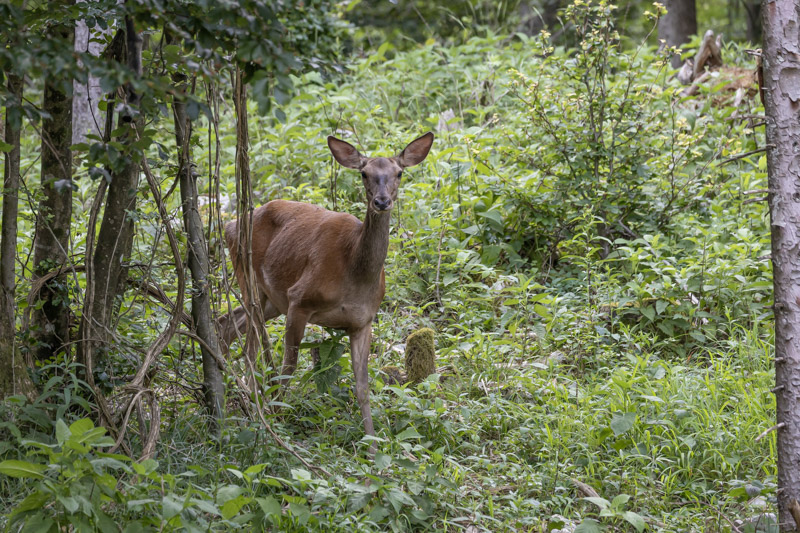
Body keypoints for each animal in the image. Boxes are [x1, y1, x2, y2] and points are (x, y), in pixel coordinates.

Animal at [219, 130, 434, 448]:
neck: (353, 274)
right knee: (250, 346)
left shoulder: (363, 321)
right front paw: (277, 423)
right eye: (364, 173)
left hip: (271, 300)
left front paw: (372, 446)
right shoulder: (299, 299)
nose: (382, 201)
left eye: (399, 173)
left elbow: (363, 386)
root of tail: (229, 225)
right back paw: (247, 397)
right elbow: (289, 367)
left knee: (227, 323)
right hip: (248, 276)